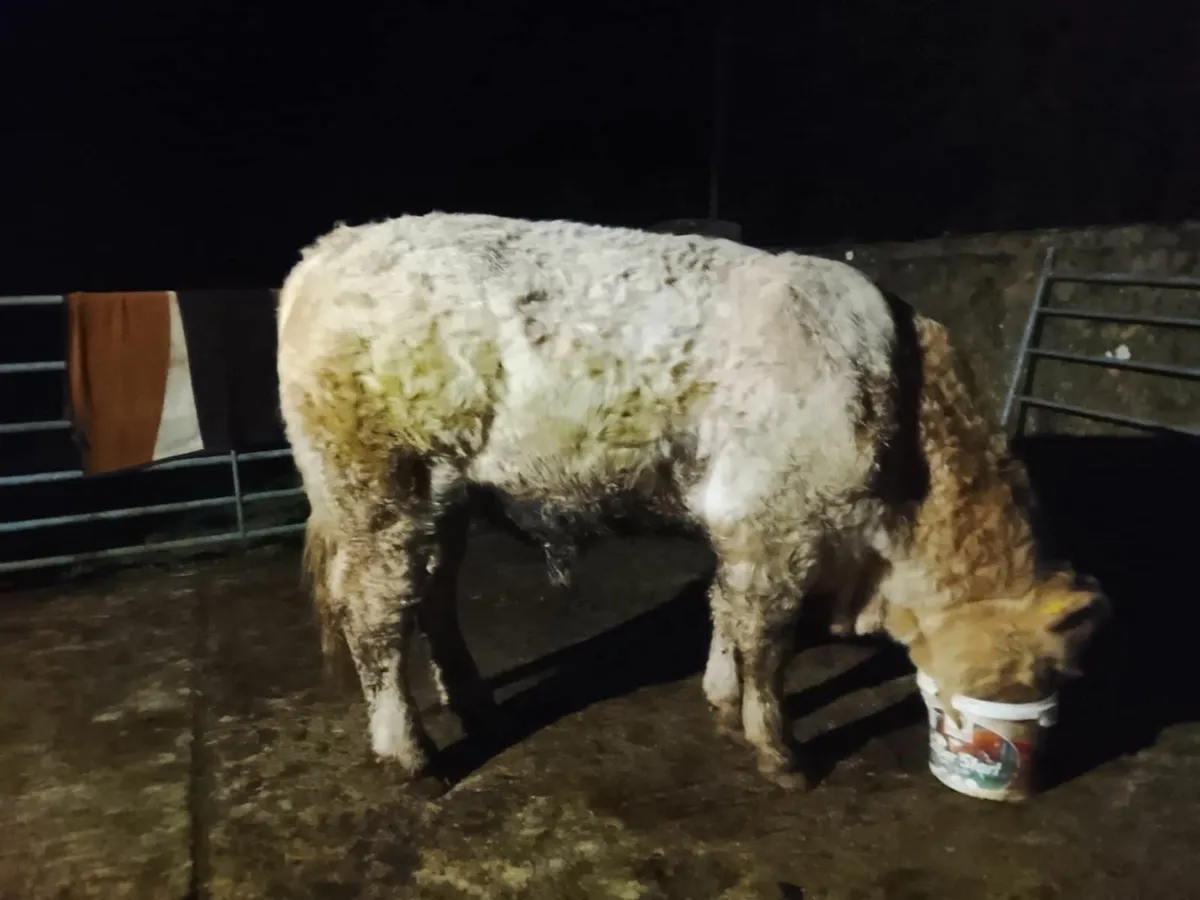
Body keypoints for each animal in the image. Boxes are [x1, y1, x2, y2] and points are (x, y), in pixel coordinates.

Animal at [276, 212, 1107, 789]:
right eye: (1046, 673)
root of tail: (330, 249)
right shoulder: (779, 525)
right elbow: (766, 641)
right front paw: (781, 753)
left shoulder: (744, 524)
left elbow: (726, 610)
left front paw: (719, 698)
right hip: (378, 488)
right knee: (376, 617)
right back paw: (410, 756)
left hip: (440, 498)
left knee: (434, 600)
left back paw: (473, 701)